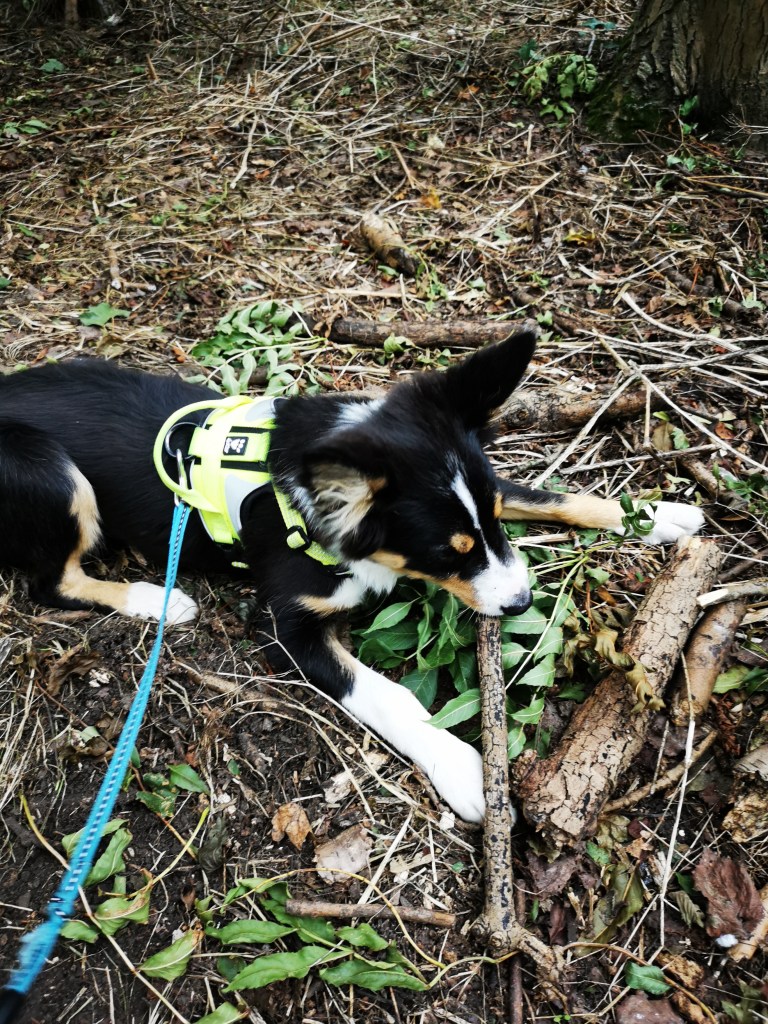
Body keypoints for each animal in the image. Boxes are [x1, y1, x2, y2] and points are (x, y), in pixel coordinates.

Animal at [0, 331, 704, 822]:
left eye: (494, 527)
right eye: (447, 555)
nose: (521, 600)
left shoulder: (490, 491)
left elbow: (544, 494)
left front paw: (655, 515)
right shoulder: (287, 626)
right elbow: (387, 695)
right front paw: (457, 765)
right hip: (51, 473)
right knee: (51, 583)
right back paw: (157, 600)